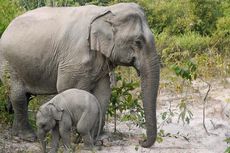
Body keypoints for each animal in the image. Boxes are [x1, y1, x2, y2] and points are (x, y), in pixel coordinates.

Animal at [0, 2, 160, 148]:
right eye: (138, 41)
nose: (141, 142)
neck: (105, 12)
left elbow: (103, 94)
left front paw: (99, 140)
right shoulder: (73, 61)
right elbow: (69, 89)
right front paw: (75, 139)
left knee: (25, 96)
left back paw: (17, 134)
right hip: (9, 63)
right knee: (18, 96)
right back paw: (27, 137)